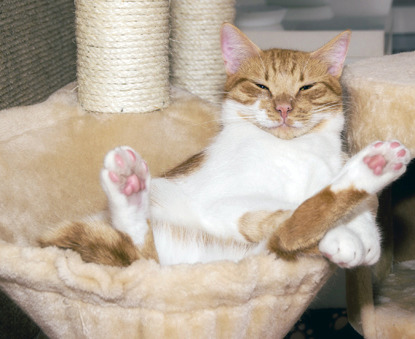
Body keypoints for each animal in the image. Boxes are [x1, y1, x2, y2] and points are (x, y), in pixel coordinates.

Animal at [40, 23, 412, 268]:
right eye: (261, 86)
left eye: (306, 87)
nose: (283, 108)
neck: (294, 150)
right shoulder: (225, 203)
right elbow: (292, 207)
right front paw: (344, 236)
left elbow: (363, 207)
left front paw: (365, 236)